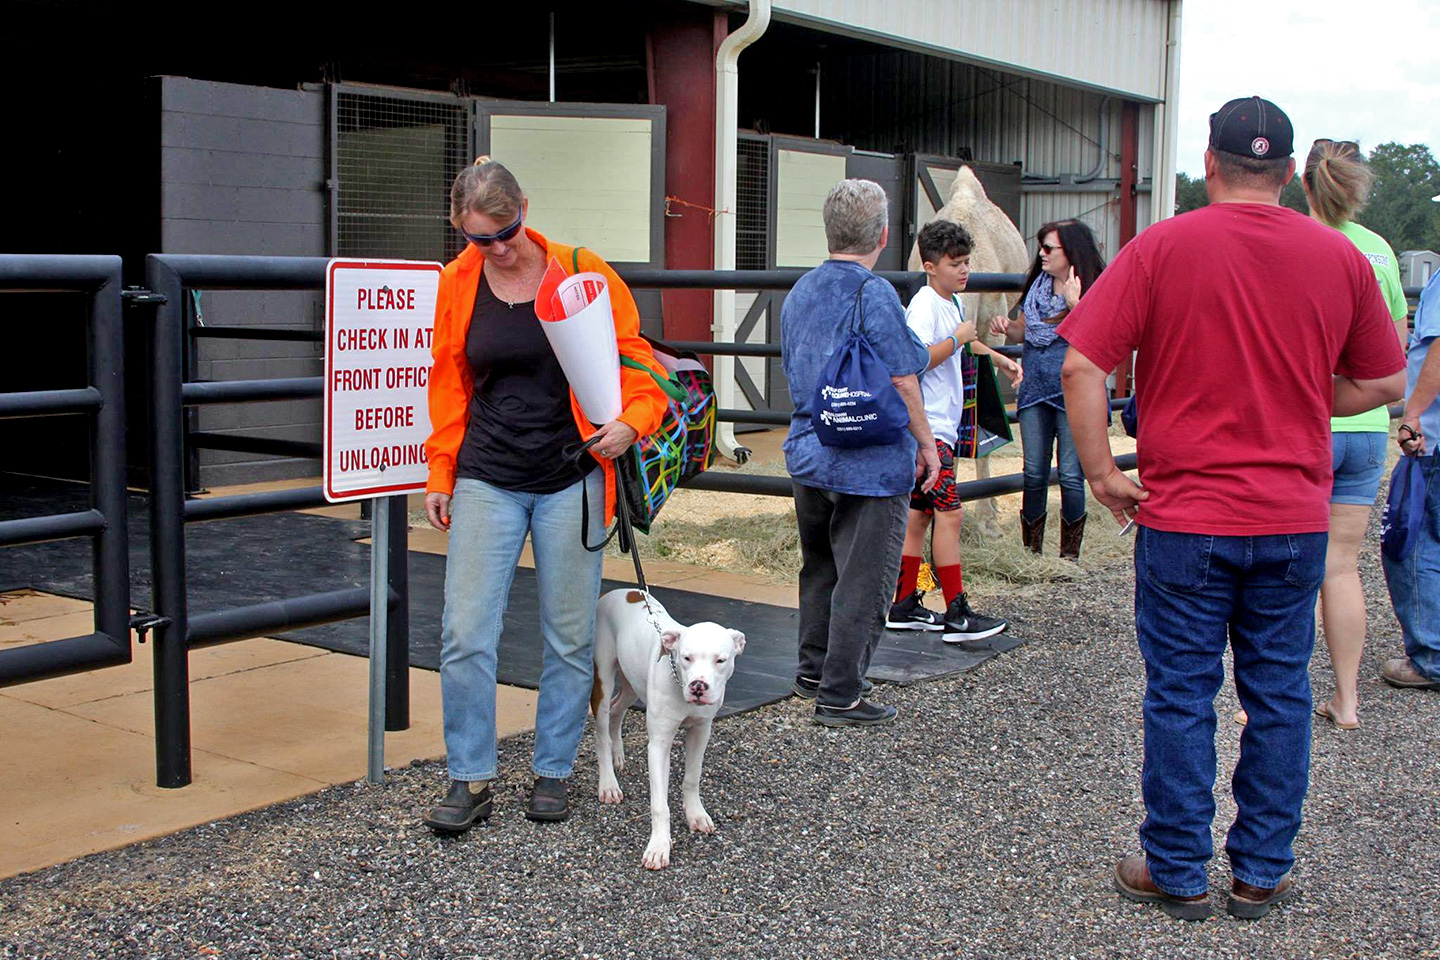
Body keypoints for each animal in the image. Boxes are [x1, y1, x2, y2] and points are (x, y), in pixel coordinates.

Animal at [593, 587, 748, 869]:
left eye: (721, 660)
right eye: (686, 658)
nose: (698, 686)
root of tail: (620, 591)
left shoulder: (701, 731)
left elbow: (692, 777)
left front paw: (696, 814)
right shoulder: (659, 744)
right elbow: (659, 804)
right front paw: (658, 847)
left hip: (632, 684)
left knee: (618, 710)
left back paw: (618, 754)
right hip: (603, 680)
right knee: (601, 730)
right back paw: (608, 783)